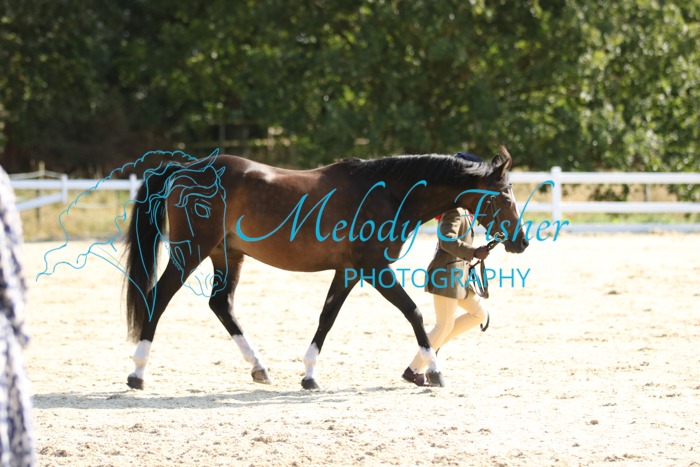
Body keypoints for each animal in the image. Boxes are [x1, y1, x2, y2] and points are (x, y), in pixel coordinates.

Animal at [123, 146, 529, 390]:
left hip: (227, 255)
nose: (521, 242)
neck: (387, 193)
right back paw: (137, 372)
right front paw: (433, 371)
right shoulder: (374, 267)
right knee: (158, 298)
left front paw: (309, 375)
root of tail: (185, 169)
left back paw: (259, 368)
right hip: (190, 251)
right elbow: (413, 312)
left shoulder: (348, 271)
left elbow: (327, 317)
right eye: (504, 196)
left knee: (221, 304)